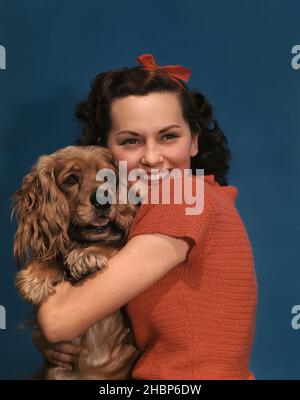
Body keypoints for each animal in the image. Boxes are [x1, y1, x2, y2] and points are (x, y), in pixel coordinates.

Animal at [10, 145, 139, 380]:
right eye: (71, 179)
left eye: (108, 177)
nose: (103, 200)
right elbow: (52, 253)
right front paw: (35, 276)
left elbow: (114, 243)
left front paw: (86, 255)